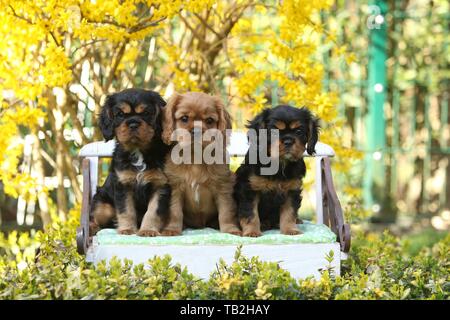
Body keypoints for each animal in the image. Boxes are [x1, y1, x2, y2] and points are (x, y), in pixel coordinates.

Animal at [90, 89, 171, 236]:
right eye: (120, 114)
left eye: (146, 113)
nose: (133, 124)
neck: (138, 151)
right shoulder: (123, 185)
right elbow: (126, 210)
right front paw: (127, 229)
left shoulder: (160, 185)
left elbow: (153, 211)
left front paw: (148, 230)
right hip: (103, 205)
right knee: (97, 218)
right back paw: (92, 227)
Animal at [162, 90, 243, 235]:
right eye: (184, 118)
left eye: (209, 120)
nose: (197, 130)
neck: (195, 157)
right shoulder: (175, 187)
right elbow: (175, 211)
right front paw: (171, 229)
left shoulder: (223, 187)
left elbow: (226, 211)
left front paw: (230, 230)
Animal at [232, 106, 320, 236]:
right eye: (273, 132)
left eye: (299, 131)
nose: (288, 141)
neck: (279, 163)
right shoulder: (249, 190)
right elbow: (250, 213)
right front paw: (252, 232)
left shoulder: (292, 191)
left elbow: (289, 213)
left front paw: (290, 230)